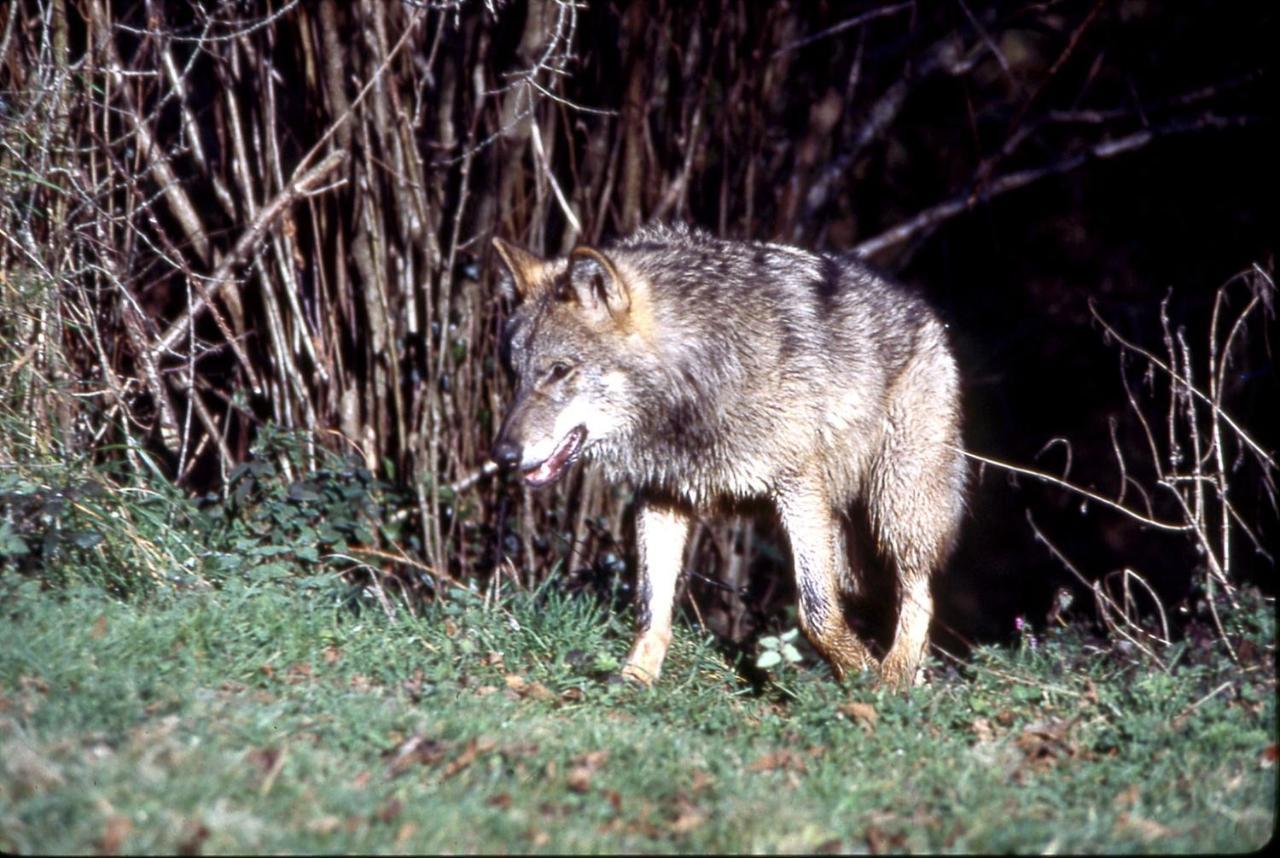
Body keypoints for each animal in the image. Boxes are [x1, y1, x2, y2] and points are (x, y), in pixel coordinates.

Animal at [486, 225, 962, 691]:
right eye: (514, 372)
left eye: (560, 370)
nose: (502, 455)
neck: (695, 374)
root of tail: (924, 314)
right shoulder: (662, 495)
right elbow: (651, 607)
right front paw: (635, 679)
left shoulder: (799, 487)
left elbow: (816, 614)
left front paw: (863, 676)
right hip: (844, 543)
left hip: (895, 509)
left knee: (920, 592)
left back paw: (896, 676)